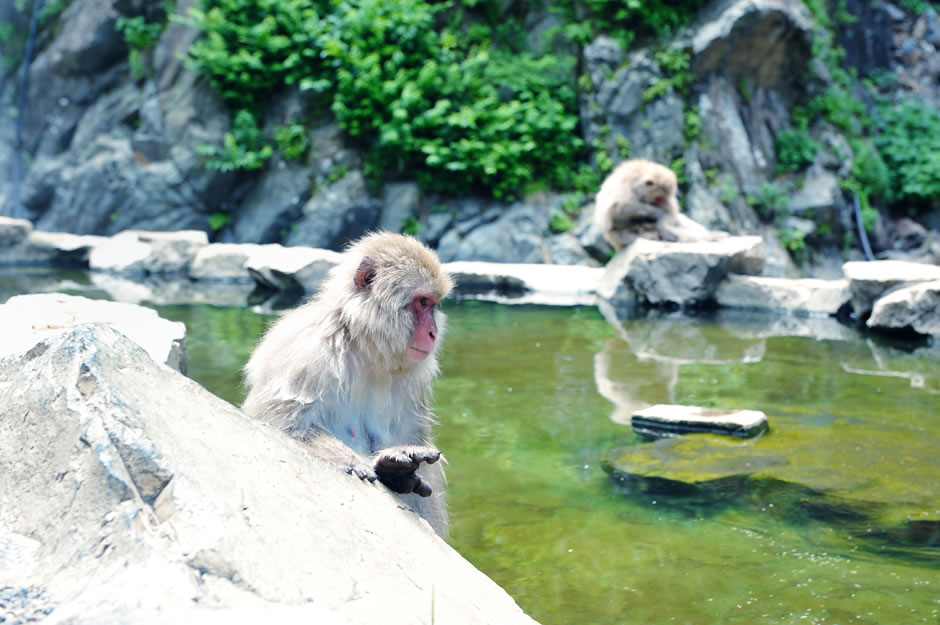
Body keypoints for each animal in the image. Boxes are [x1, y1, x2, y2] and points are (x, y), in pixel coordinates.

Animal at [242, 232, 456, 532]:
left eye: (433, 305)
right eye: (422, 302)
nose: (433, 333)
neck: (364, 347)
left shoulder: (415, 377)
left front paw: (396, 473)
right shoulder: (305, 353)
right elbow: (279, 424)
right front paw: (364, 465)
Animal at [596, 157, 728, 250]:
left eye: (662, 198)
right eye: (659, 197)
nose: (660, 204)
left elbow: (671, 216)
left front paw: (663, 220)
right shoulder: (626, 184)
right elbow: (616, 207)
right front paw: (657, 213)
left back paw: (711, 235)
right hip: (624, 237)